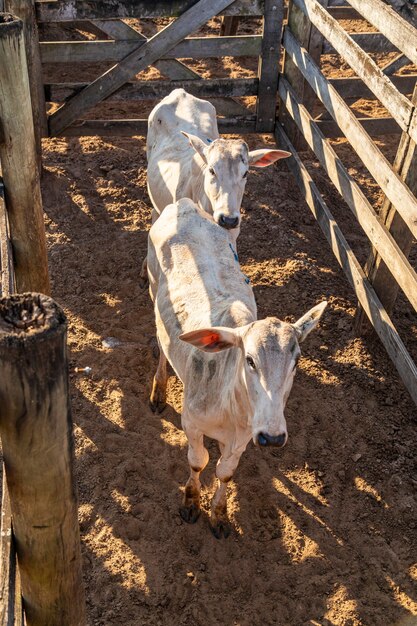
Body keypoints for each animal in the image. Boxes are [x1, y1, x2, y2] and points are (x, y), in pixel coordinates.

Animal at [148, 199, 326, 536]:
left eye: (296, 361)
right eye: (250, 359)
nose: (272, 437)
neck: (229, 407)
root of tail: (184, 204)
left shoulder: (243, 437)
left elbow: (225, 472)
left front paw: (219, 514)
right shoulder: (191, 422)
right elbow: (198, 461)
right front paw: (191, 502)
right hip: (153, 291)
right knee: (162, 346)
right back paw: (158, 392)